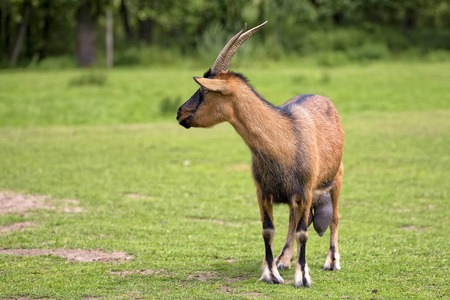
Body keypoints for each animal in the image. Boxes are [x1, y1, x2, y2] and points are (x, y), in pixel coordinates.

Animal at [177, 21, 344, 288]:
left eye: (203, 89)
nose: (180, 113)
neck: (283, 139)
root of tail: (323, 98)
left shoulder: (306, 190)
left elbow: (303, 232)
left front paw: (302, 277)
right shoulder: (263, 191)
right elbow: (268, 229)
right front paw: (271, 273)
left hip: (336, 178)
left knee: (335, 217)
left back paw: (332, 261)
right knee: (292, 217)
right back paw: (284, 259)